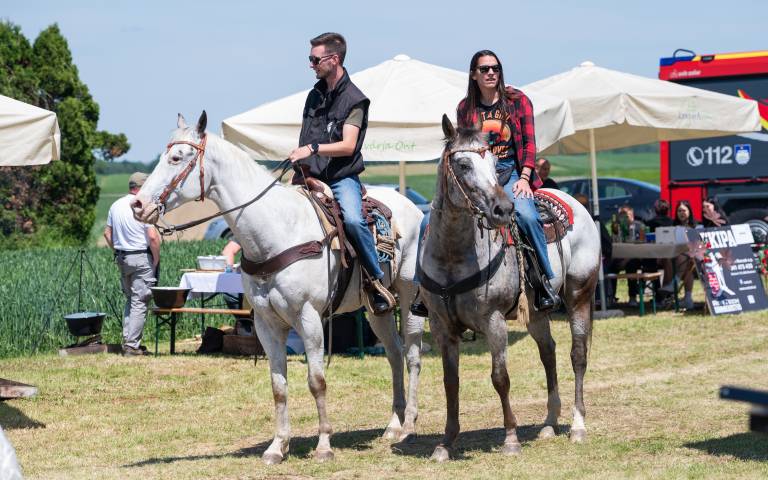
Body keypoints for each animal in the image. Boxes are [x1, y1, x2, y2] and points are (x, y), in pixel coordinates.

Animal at [132, 112, 425, 464]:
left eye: (176, 158)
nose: (137, 205)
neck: (275, 230)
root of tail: (415, 209)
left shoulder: (309, 319)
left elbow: (316, 381)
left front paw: (323, 446)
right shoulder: (266, 323)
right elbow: (278, 385)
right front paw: (277, 446)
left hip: (409, 296)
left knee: (411, 356)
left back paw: (408, 426)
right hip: (375, 309)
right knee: (394, 354)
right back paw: (393, 425)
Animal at [420, 116, 600, 461]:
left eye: (493, 164)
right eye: (463, 164)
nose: (503, 209)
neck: (453, 255)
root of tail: (578, 205)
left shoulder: (494, 321)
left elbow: (500, 378)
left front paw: (511, 439)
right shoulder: (440, 325)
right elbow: (451, 382)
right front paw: (445, 443)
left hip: (579, 295)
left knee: (578, 355)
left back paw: (578, 426)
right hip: (538, 310)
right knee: (548, 353)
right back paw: (549, 423)